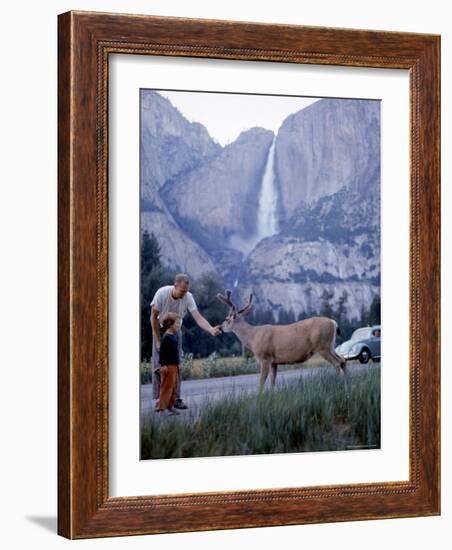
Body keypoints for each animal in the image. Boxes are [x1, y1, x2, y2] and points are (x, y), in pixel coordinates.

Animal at [215, 292, 346, 390]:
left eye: (226, 319)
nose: (220, 328)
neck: (252, 337)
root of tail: (333, 322)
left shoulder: (265, 357)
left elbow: (261, 382)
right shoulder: (274, 362)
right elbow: (272, 382)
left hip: (322, 346)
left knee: (337, 363)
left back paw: (338, 384)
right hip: (330, 345)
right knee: (343, 360)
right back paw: (347, 382)